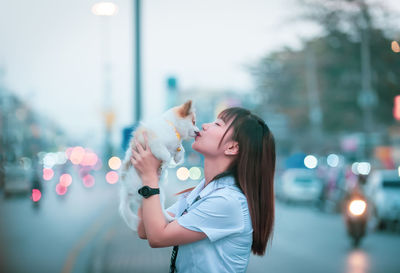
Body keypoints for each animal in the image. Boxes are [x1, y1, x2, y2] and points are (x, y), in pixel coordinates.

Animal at [119, 100, 199, 230]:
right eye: (193, 122)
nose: (198, 132)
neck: (172, 127)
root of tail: (126, 191)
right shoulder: (155, 144)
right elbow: (166, 154)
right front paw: (165, 164)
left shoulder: (173, 145)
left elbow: (180, 148)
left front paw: (178, 157)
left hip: (159, 194)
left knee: (161, 210)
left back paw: (170, 218)